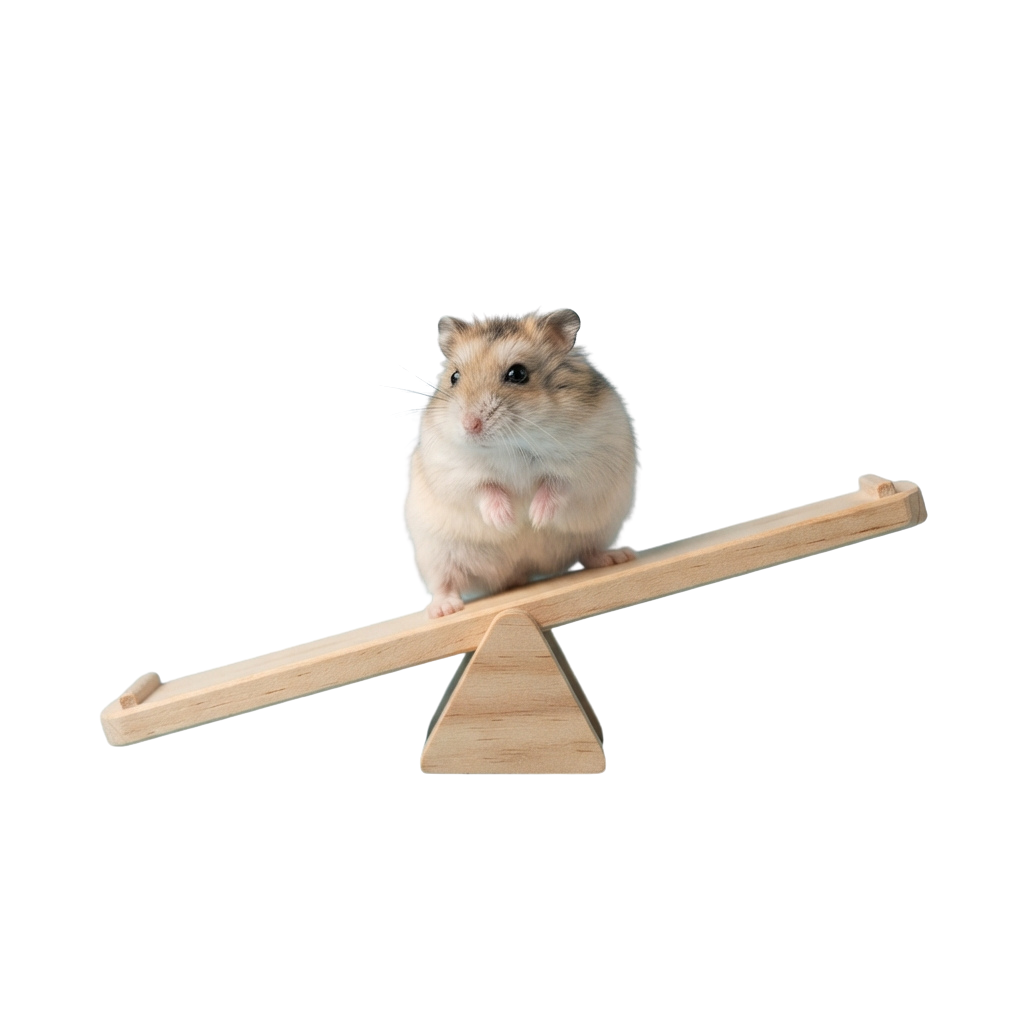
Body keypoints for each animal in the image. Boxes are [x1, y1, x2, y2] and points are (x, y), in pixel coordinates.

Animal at [402, 308, 642, 619]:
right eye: (454, 377)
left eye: (518, 374)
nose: (469, 425)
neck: (510, 445)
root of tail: (515, 575)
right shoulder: (452, 469)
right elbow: (484, 488)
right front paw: (509, 521)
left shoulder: (589, 462)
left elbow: (558, 484)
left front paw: (535, 518)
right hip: (435, 554)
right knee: (445, 583)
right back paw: (443, 610)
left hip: (601, 530)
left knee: (590, 552)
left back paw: (617, 557)